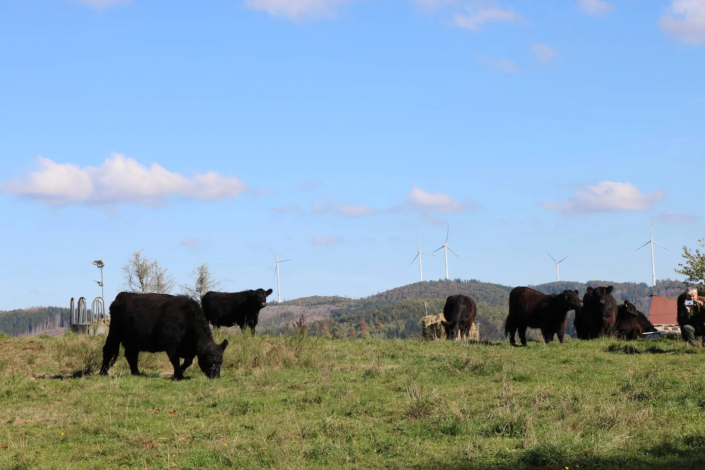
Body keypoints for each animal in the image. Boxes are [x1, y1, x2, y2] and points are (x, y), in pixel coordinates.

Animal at [97, 292, 226, 380]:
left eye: (220, 361)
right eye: (209, 360)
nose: (216, 376)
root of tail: (123, 295)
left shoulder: (190, 350)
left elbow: (188, 361)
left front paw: (180, 372)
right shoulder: (171, 345)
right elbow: (175, 360)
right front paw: (178, 375)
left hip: (132, 340)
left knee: (131, 355)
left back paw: (136, 372)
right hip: (114, 333)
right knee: (108, 350)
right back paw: (103, 372)